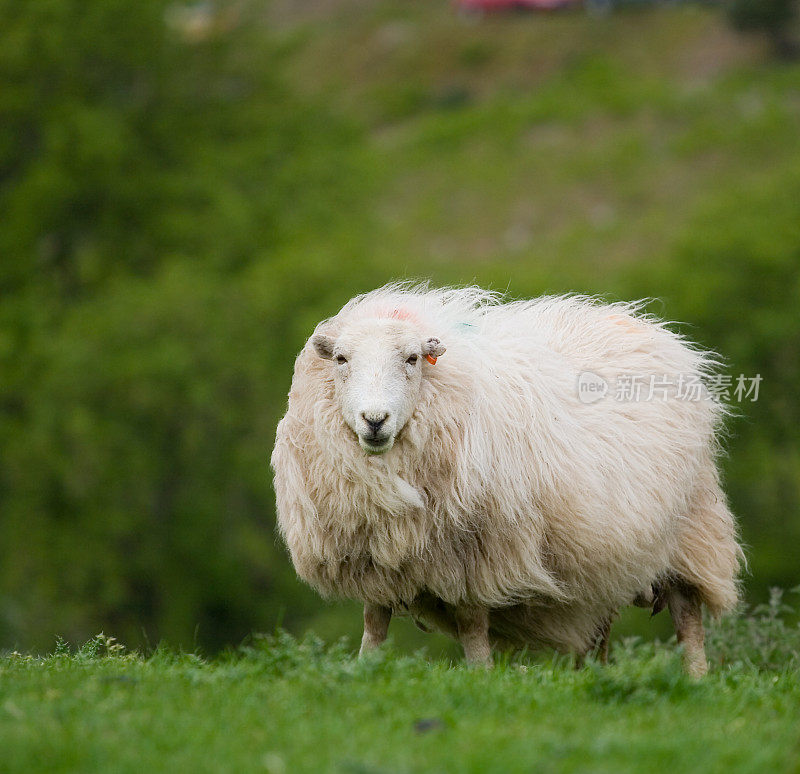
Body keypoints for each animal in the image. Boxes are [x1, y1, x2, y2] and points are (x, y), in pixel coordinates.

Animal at [270, 282, 744, 676]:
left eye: (411, 358)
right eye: (341, 359)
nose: (374, 420)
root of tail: (656, 332)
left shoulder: (475, 556)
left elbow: (472, 629)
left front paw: (481, 679)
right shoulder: (375, 556)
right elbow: (374, 626)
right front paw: (364, 670)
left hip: (691, 532)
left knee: (688, 619)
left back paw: (696, 680)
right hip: (605, 560)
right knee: (601, 630)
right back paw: (592, 678)